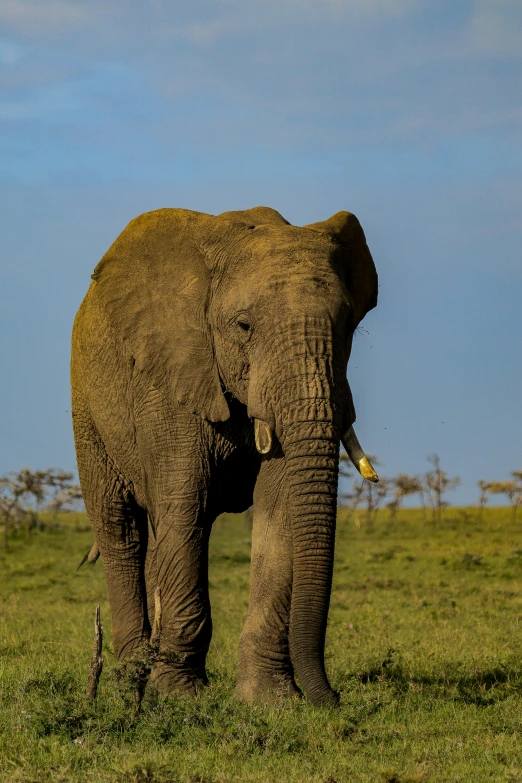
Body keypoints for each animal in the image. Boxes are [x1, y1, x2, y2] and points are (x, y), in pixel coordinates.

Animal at [71, 205, 376, 708]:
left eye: (348, 323)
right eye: (244, 326)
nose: (333, 699)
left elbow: (279, 509)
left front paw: (271, 700)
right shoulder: (168, 376)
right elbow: (184, 504)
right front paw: (178, 697)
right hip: (87, 405)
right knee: (122, 530)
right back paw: (130, 679)